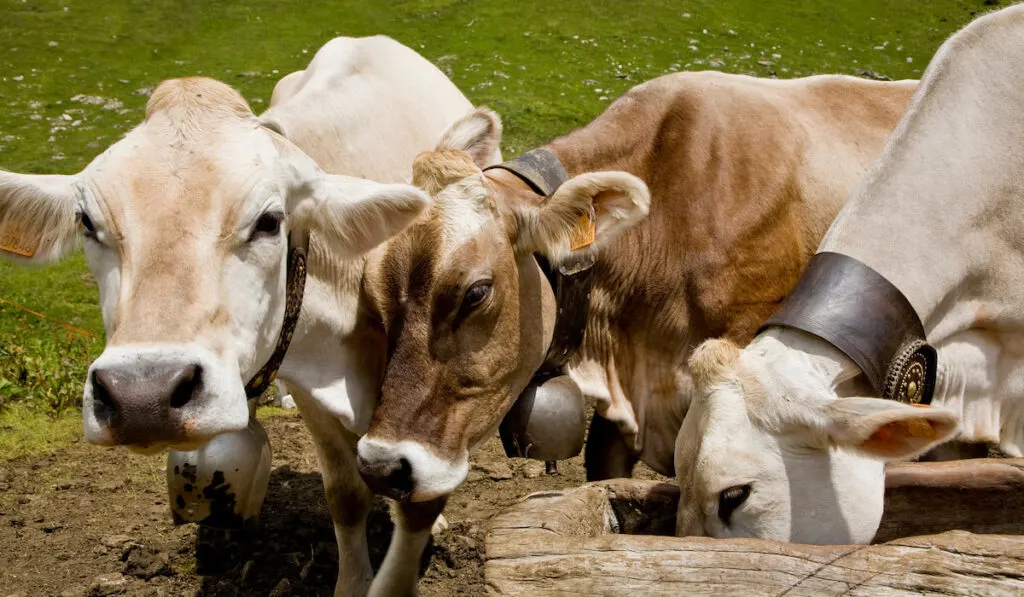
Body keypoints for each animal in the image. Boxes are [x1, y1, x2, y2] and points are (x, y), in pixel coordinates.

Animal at [0, 36, 497, 597]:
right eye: (87, 222)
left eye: (269, 221)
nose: (143, 397)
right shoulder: (310, 391)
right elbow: (345, 494)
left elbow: (420, 493)